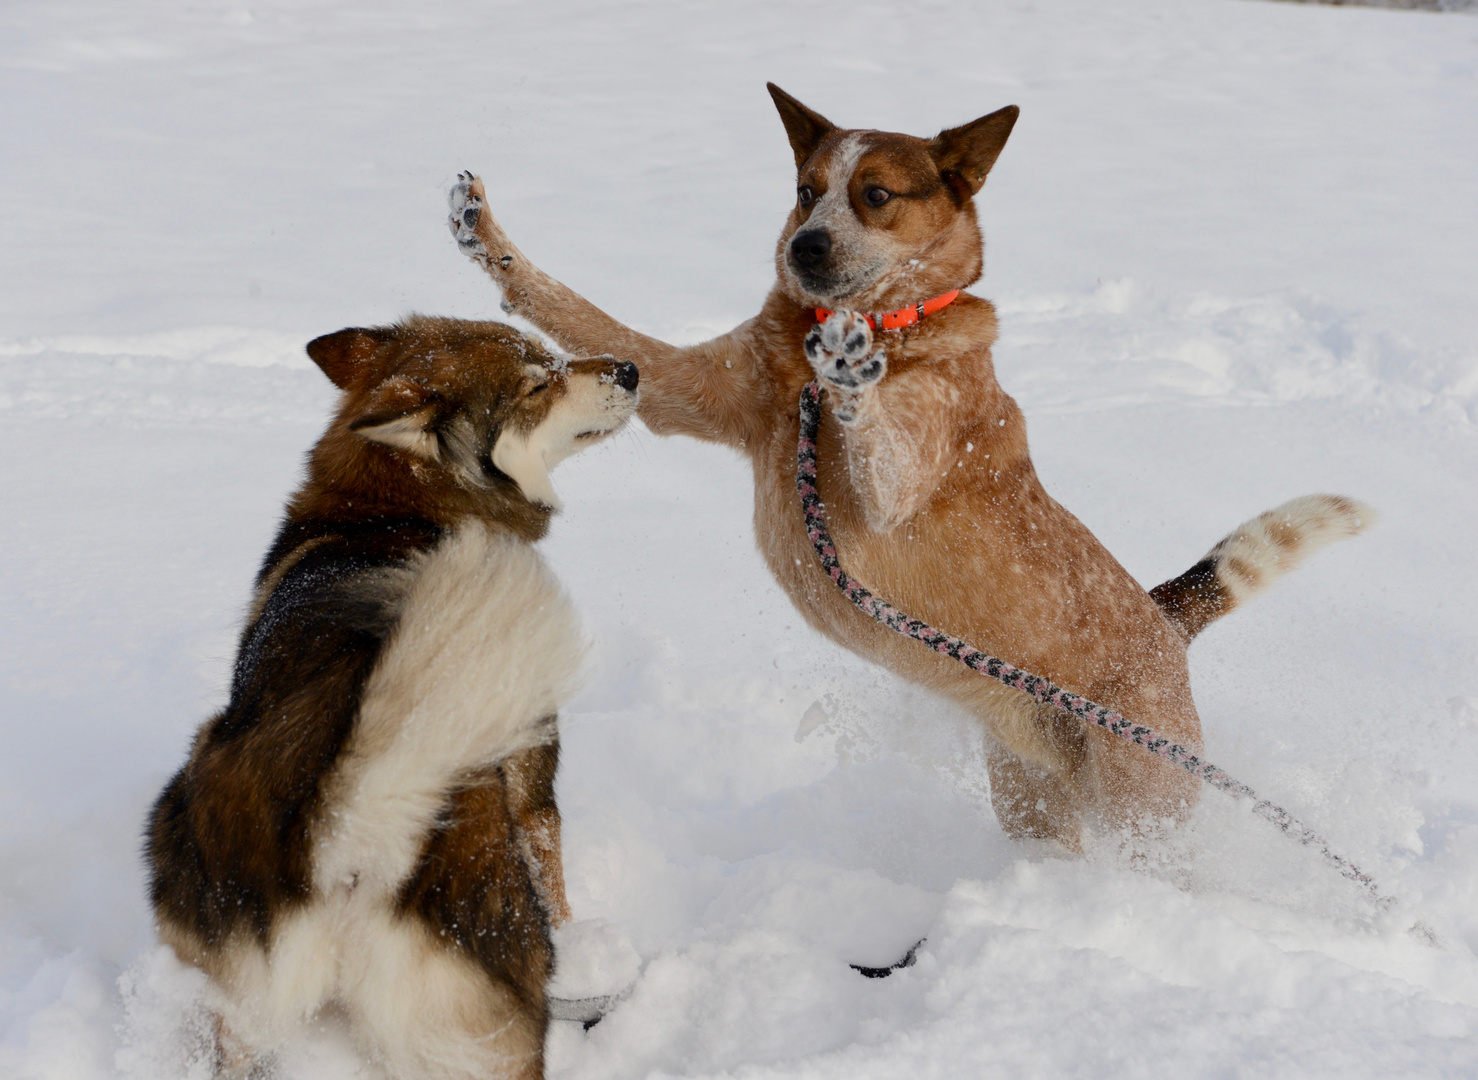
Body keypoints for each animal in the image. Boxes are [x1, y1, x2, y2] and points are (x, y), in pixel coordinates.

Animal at [145, 319, 641, 1080]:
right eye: (537, 382)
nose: (631, 368)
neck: (387, 509)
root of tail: (345, 827)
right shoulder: (534, 784)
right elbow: (555, 875)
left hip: (233, 978)